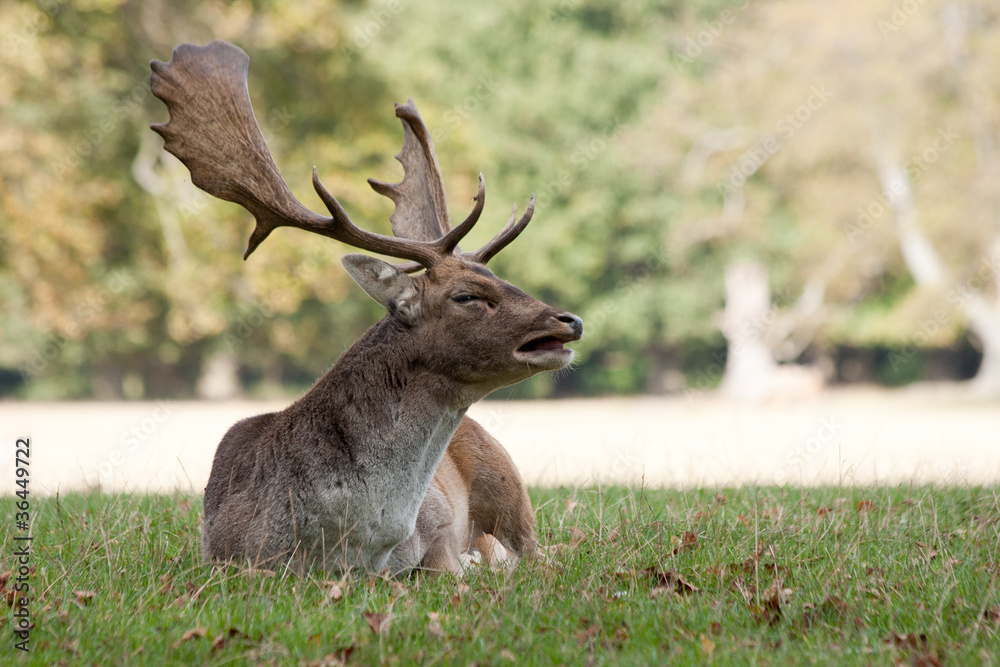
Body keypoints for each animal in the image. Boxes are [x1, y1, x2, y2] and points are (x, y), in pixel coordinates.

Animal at [149, 40, 582, 575]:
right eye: (467, 295)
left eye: (504, 278)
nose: (569, 321)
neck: (351, 543)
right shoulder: (227, 558)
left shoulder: (439, 529)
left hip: (510, 484)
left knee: (542, 553)